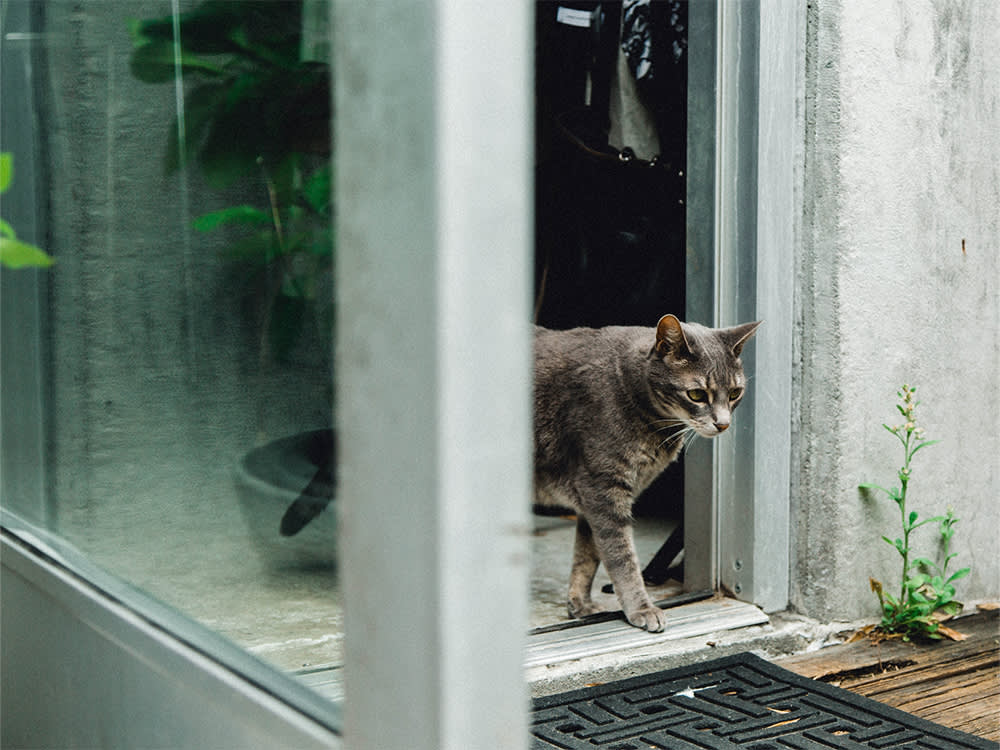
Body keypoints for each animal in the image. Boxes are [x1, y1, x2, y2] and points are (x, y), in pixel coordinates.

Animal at [536, 314, 760, 632]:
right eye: (696, 394)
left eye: (734, 393)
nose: (723, 424)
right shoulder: (602, 488)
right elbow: (621, 557)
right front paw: (641, 608)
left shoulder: (592, 499)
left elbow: (587, 555)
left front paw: (581, 605)